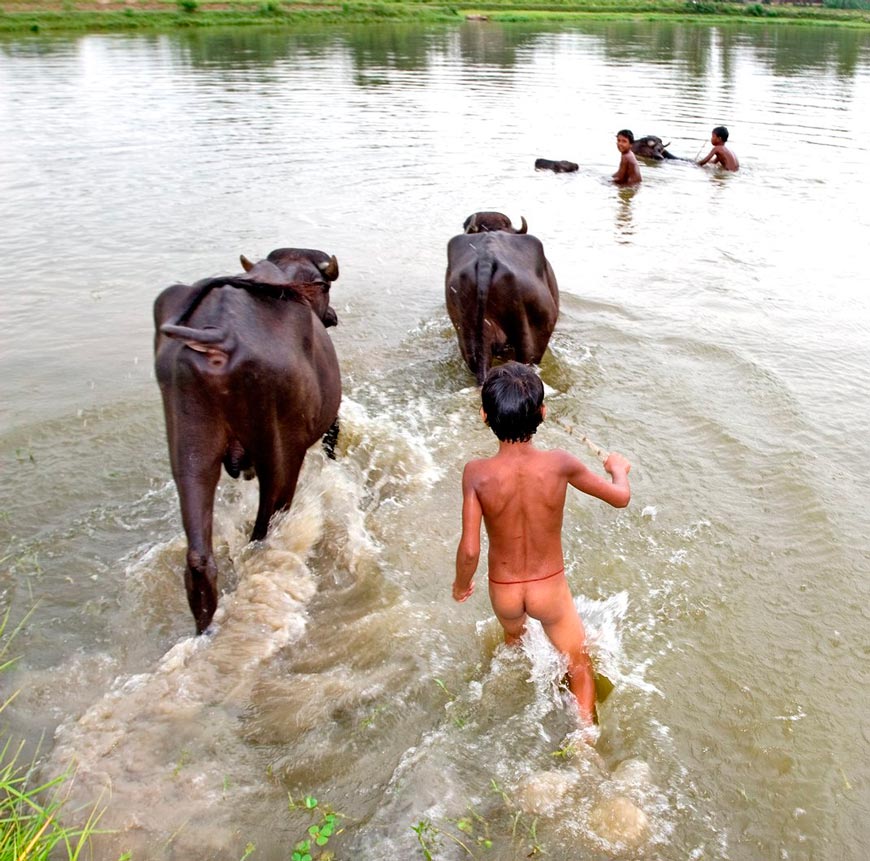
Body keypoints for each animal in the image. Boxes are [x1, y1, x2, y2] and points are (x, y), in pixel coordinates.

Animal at [155, 247, 342, 632]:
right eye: (326, 288)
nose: (331, 316)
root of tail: (220, 335)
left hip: (191, 452)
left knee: (199, 560)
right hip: (282, 453)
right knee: (265, 526)